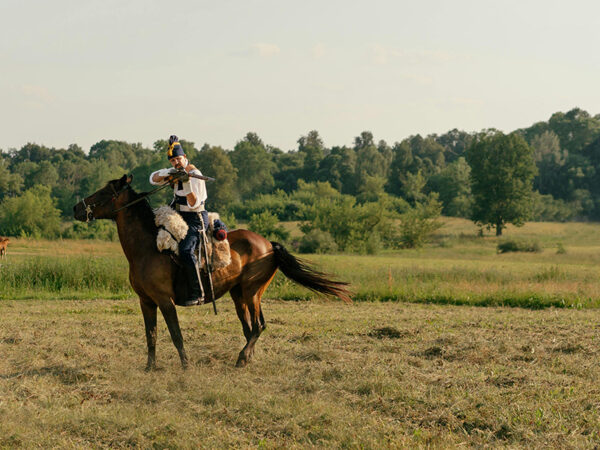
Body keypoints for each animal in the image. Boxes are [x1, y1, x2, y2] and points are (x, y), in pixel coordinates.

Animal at [74, 175, 352, 370]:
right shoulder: (146, 302)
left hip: (252, 292)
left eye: (104, 192)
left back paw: (242, 358)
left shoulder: (165, 301)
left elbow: (176, 335)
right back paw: (246, 359)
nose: (77, 208)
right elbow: (151, 335)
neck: (148, 247)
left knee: (259, 326)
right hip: (239, 295)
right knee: (249, 328)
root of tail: (269, 245)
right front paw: (149, 368)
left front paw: (186, 367)